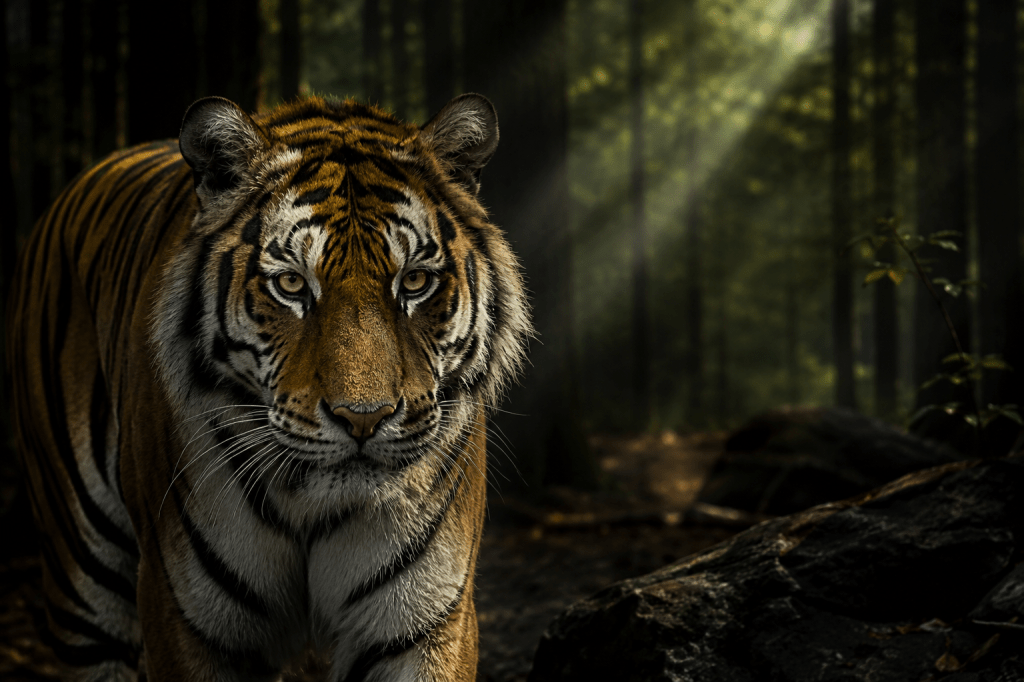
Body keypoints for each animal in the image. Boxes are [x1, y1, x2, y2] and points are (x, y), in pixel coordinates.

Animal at [6, 93, 531, 681]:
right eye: (292, 284)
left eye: (415, 281)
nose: (364, 418)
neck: (313, 508)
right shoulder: (184, 616)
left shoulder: (423, 622)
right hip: (83, 586)